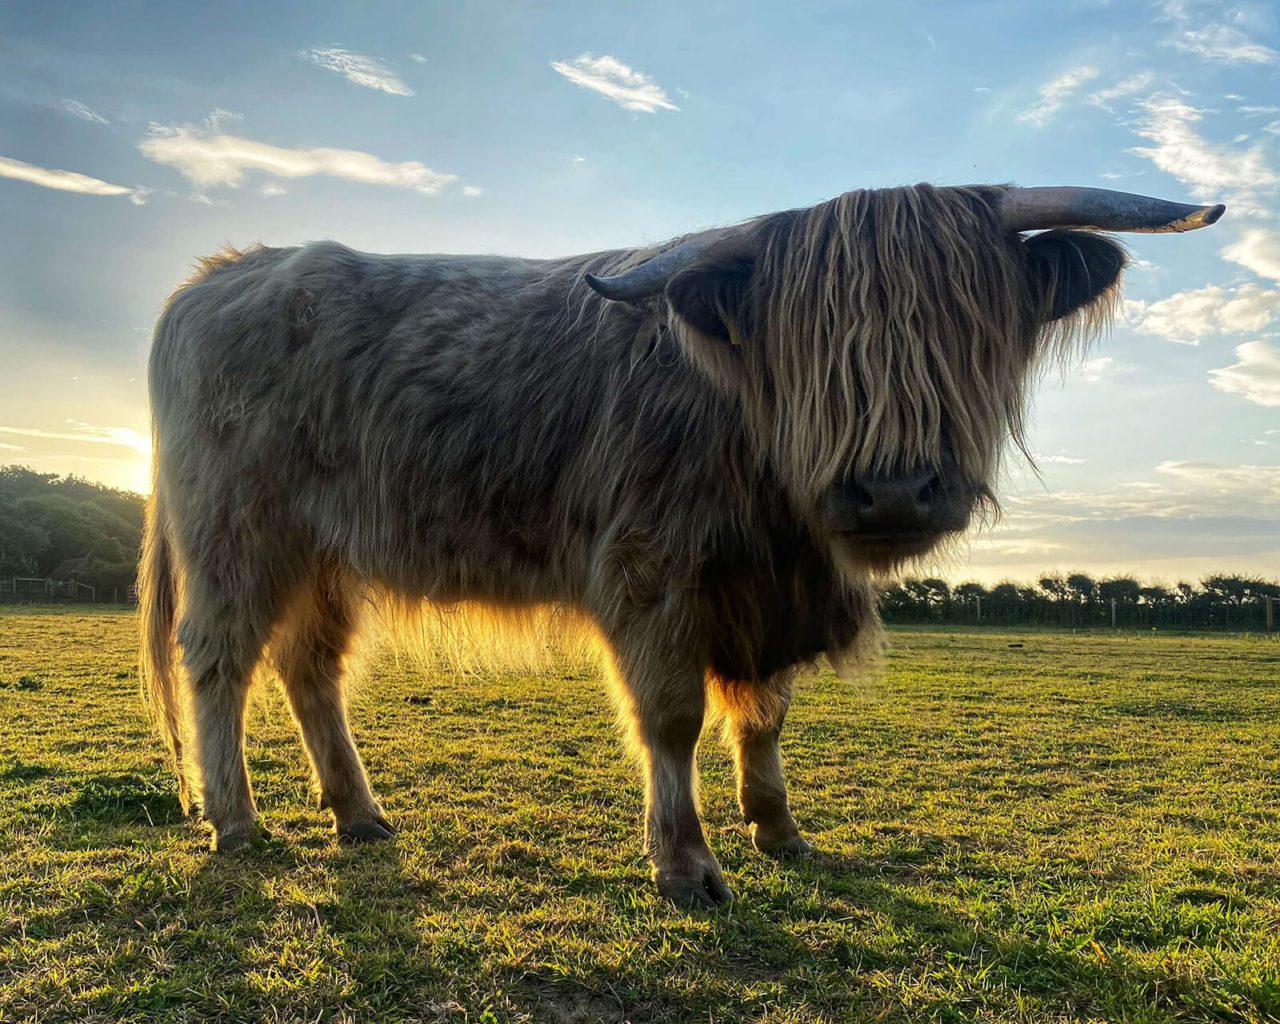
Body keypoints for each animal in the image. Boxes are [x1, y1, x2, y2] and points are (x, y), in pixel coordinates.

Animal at [139, 183, 1223, 907]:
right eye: (807, 340)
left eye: (968, 328)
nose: (893, 486)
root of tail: (225, 271)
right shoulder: (651, 574)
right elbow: (672, 718)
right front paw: (687, 862)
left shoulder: (768, 596)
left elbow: (765, 716)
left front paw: (779, 829)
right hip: (237, 532)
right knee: (219, 661)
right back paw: (236, 821)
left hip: (323, 551)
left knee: (309, 666)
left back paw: (358, 813)